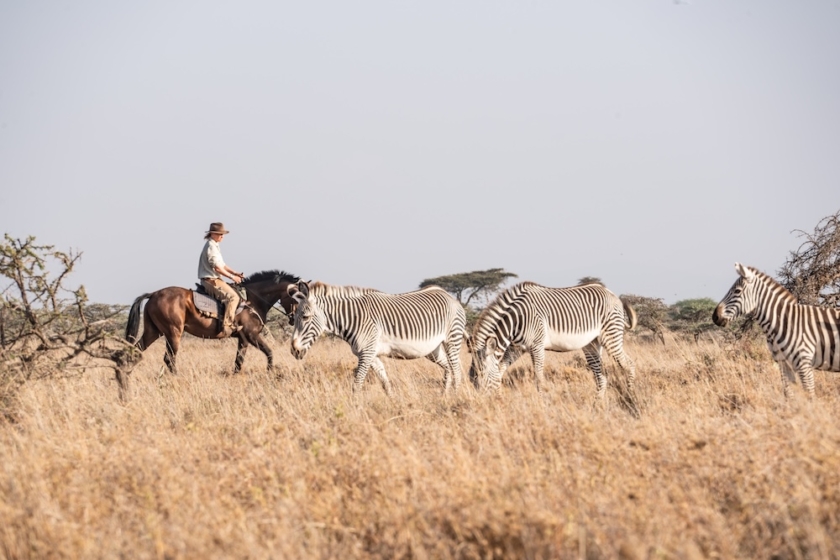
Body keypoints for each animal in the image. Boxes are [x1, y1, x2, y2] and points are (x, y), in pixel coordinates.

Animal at [125, 270, 300, 374]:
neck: (253, 300)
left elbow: (238, 363)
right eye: (298, 298)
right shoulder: (251, 335)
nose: (295, 319)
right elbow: (269, 352)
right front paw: (270, 372)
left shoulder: (243, 339)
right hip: (173, 333)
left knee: (136, 350)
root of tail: (154, 294)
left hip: (154, 332)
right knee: (169, 359)